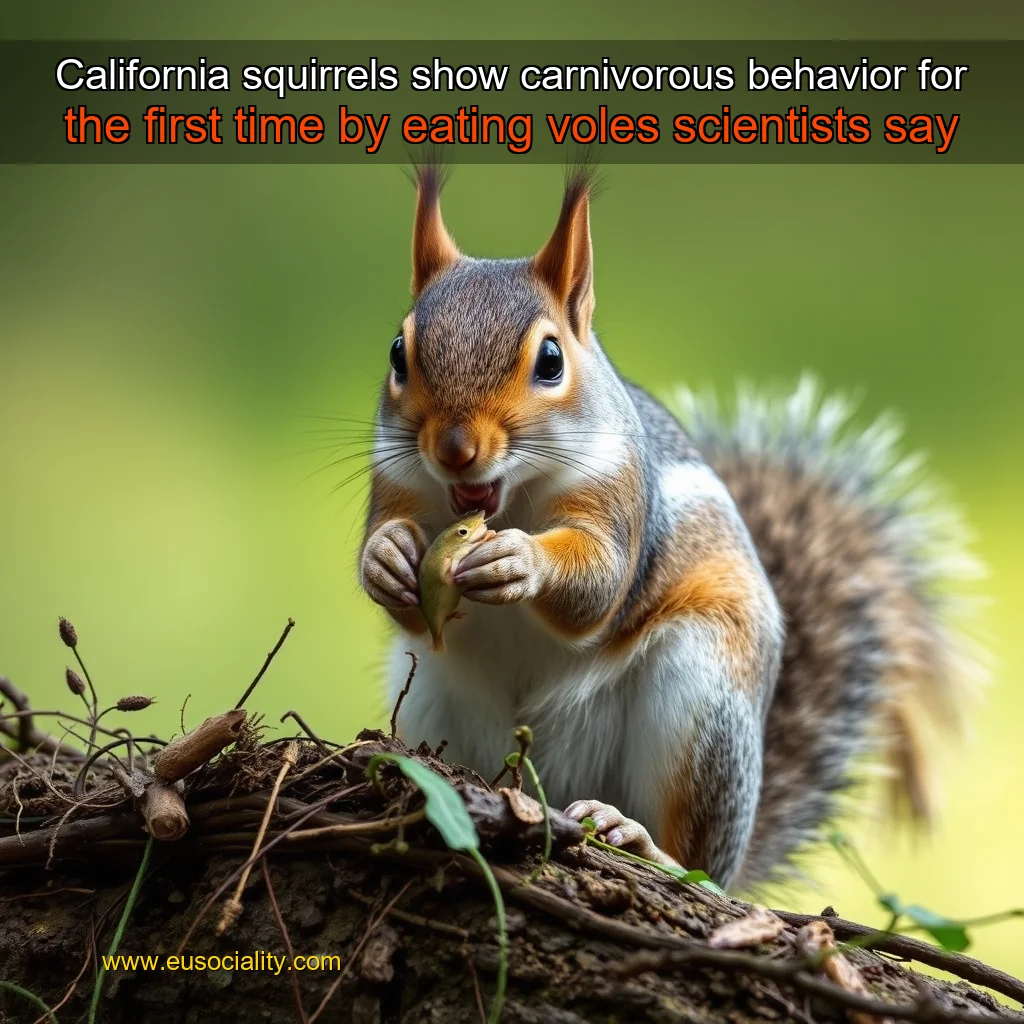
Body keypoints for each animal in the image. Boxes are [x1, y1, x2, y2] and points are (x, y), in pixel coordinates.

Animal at [359, 164, 983, 891]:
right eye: (397, 354)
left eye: (551, 361)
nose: (455, 449)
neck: (511, 498)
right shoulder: (394, 479)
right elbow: (398, 582)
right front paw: (387, 557)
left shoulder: (625, 496)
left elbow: (598, 587)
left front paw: (519, 561)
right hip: (434, 696)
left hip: (701, 699)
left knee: (696, 859)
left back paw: (640, 839)